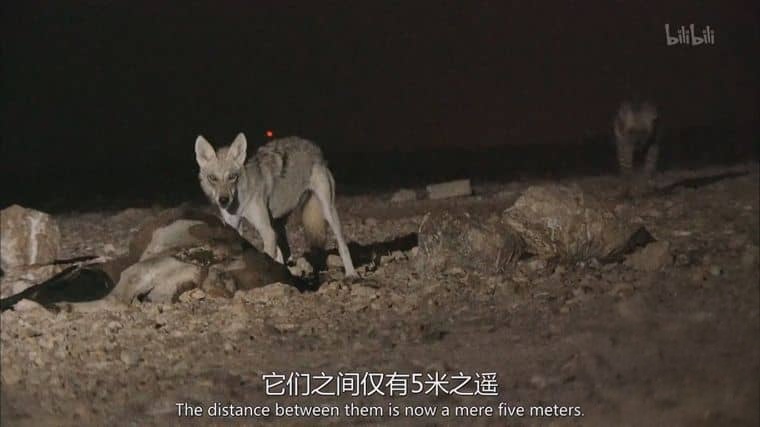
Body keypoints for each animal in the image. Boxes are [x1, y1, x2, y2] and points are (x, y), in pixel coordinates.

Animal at [194, 133, 357, 277]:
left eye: (232, 177)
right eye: (212, 178)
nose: (223, 200)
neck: (240, 200)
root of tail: (314, 147)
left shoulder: (267, 231)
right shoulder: (235, 227)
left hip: (328, 211)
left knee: (343, 246)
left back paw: (351, 274)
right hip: (278, 222)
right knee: (284, 254)